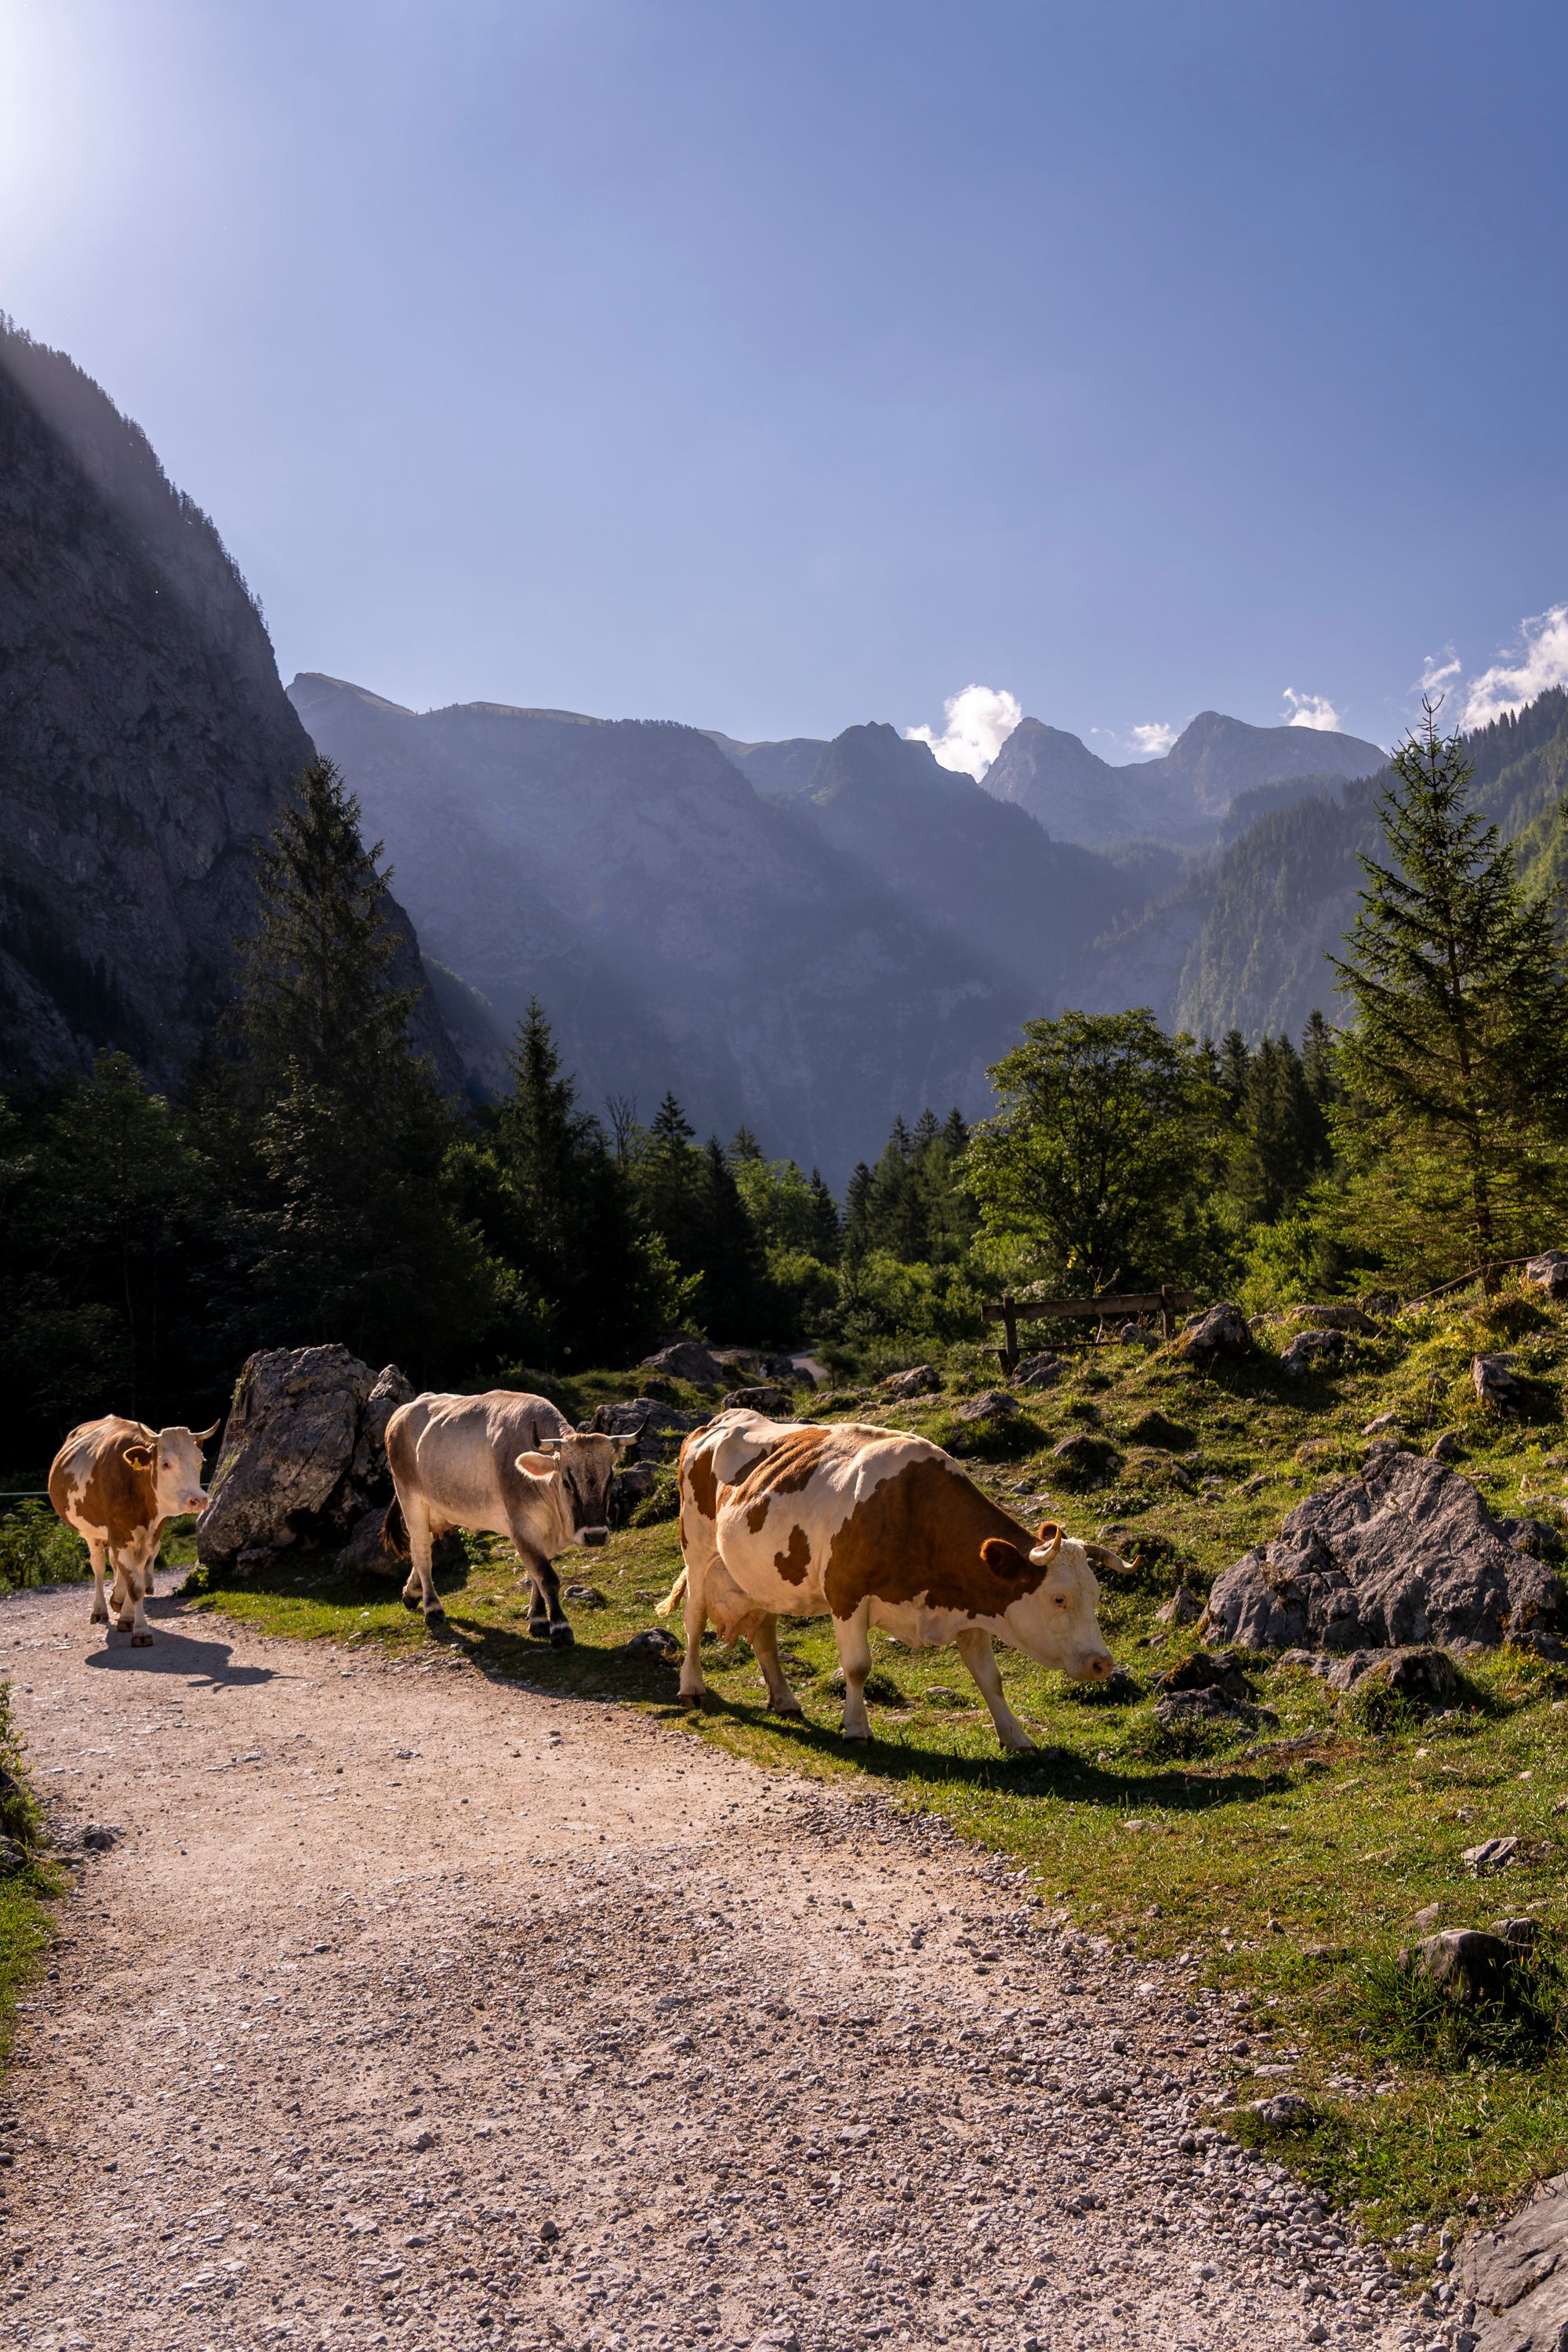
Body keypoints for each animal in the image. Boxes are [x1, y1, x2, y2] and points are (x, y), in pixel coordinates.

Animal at [48, 1416, 217, 1645]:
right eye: (166, 1463)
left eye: (200, 1461)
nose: (198, 1500)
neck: (135, 1482)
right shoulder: (119, 1535)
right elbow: (135, 1585)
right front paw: (141, 1631)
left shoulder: (149, 1537)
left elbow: (136, 1577)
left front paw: (128, 1616)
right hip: (92, 1533)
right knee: (99, 1565)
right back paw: (99, 1610)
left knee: (116, 1564)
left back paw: (117, 1599)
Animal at [383, 1390, 646, 1642]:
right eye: (567, 1482)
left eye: (610, 1480)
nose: (596, 1535)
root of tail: (403, 1411)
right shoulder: (522, 1526)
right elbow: (546, 1577)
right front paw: (560, 1626)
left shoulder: (542, 1533)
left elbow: (536, 1575)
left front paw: (538, 1619)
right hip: (410, 1498)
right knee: (422, 1553)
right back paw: (432, 1608)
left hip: (437, 1509)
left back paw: (411, 1592)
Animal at [657, 1409, 1125, 1749]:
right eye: (1059, 1599)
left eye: (1096, 1596)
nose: (1102, 1663)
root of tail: (716, 1422)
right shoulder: (846, 1594)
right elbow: (858, 1666)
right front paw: (857, 1728)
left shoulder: (970, 1604)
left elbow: (990, 1678)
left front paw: (1016, 1737)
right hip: (697, 1551)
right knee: (694, 1619)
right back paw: (692, 1688)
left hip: (762, 1577)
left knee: (765, 1635)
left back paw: (785, 1700)